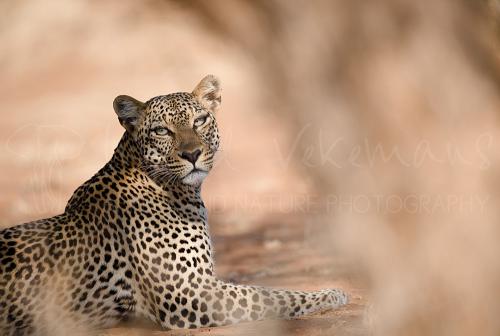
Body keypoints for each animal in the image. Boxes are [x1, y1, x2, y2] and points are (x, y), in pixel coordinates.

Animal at [0, 75, 348, 334]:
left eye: (200, 120)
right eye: (161, 130)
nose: (192, 154)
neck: (174, 189)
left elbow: (261, 290)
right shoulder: (188, 292)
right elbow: (268, 295)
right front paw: (330, 294)